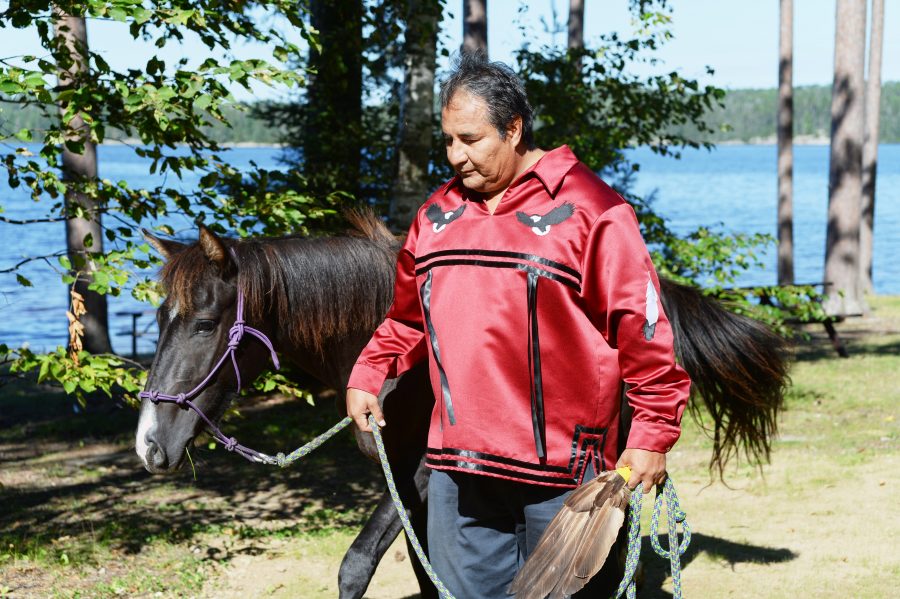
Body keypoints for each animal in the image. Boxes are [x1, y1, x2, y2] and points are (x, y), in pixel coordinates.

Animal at [134, 212, 788, 599]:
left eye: (204, 324)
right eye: (158, 320)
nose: (149, 444)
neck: (406, 360)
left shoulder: (429, 470)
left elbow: (356, 564)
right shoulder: (402, 477)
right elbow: (430, 569)